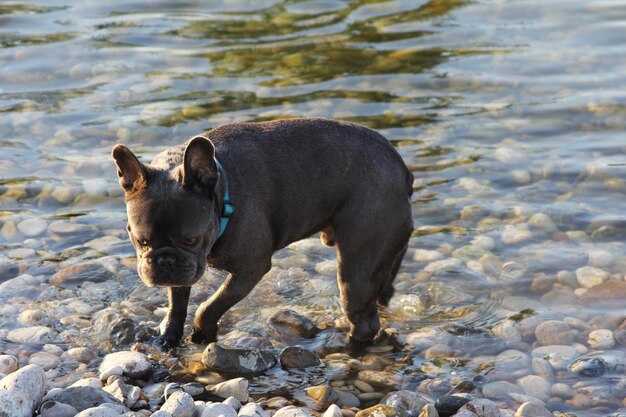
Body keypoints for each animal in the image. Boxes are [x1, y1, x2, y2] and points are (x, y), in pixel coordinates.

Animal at [112, 117, 414, 348]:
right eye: (141, 241)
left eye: (191, 240)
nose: (164, 261)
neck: (223, 193)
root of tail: (401, 169)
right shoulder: (186, 270)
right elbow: (177, 300)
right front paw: (169, 333)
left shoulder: (249, 270)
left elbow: (210, 305)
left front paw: (202, 332)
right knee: (384, 287)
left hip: (357, 267)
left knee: (363, 318)